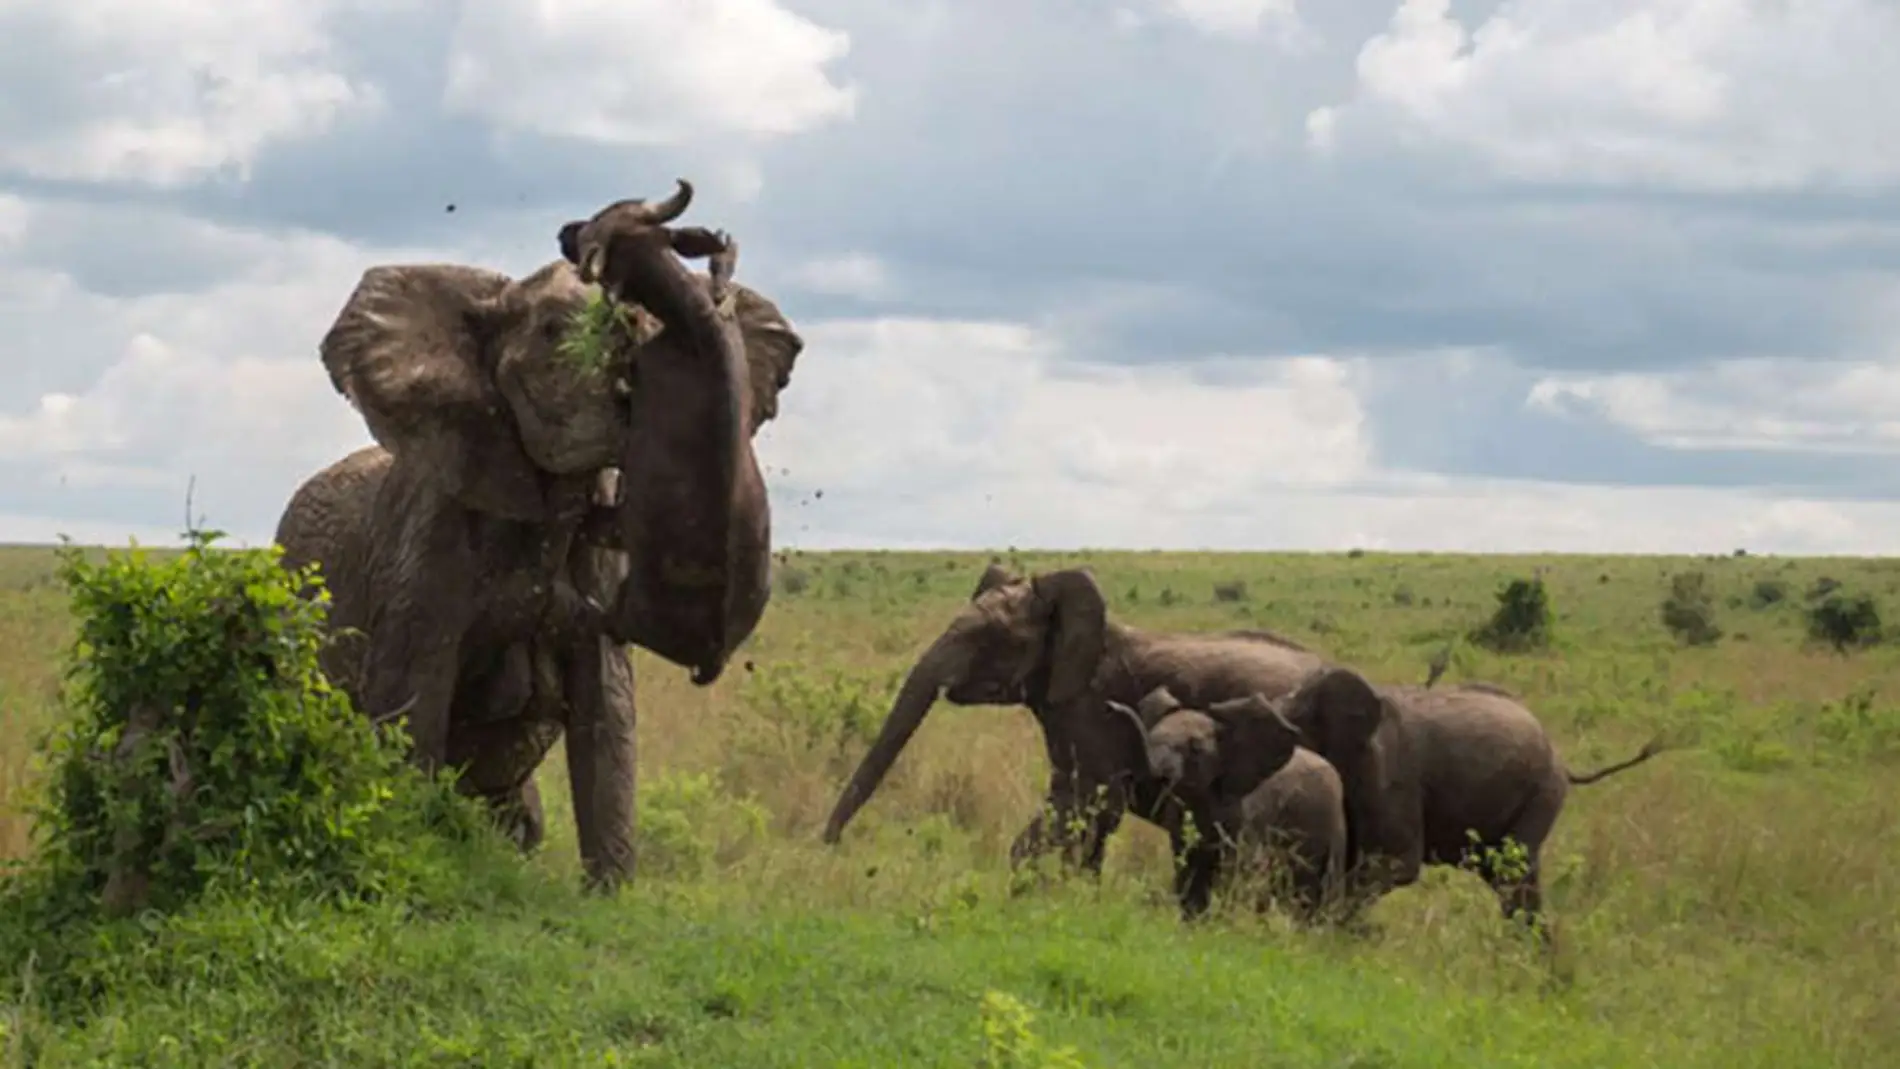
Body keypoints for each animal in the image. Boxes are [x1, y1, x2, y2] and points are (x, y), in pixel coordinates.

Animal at [274, 180, 803, 889]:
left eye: (640, 324)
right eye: (555, 332)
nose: (580, 232)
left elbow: (608, 714)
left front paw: (608, 896)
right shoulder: (425, 543)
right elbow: (411, 702)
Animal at [1107, 686, 1347, 923]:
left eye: (1195, 748)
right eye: (1151, 737)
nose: (1112, 705)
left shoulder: (1245, 814)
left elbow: (1233, 869)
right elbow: (1188, 869)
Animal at [1207, 665, 1669, 930]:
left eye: (1289, 732)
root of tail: (1562, 759)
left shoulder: (1390, 776)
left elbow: (1394, 865)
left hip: (1542, 793)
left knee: (1513, 879)